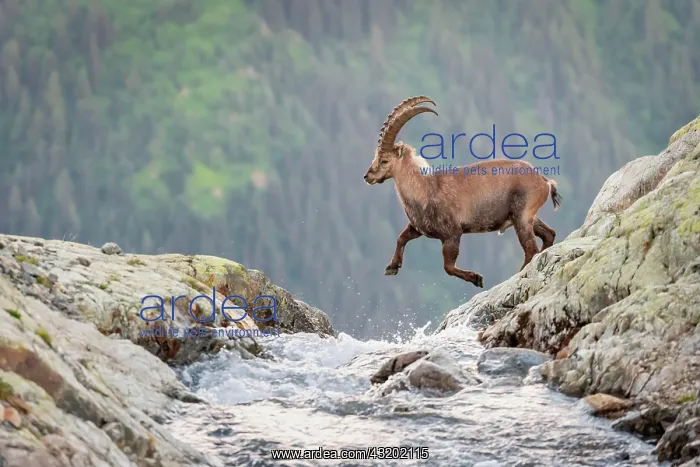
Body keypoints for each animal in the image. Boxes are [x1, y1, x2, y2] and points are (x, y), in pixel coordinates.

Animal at [363, 96, 562, 288]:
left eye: (384, 160)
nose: (367, 176)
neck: (425, 189)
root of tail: (544, 181)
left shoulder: (452, 234)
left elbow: (448, 267)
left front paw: (477, 278)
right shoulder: (418, 228)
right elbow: (401, 238)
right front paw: (392, 267)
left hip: (522, 216)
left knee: (531, 249)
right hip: (524, 216)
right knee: (549, 234)